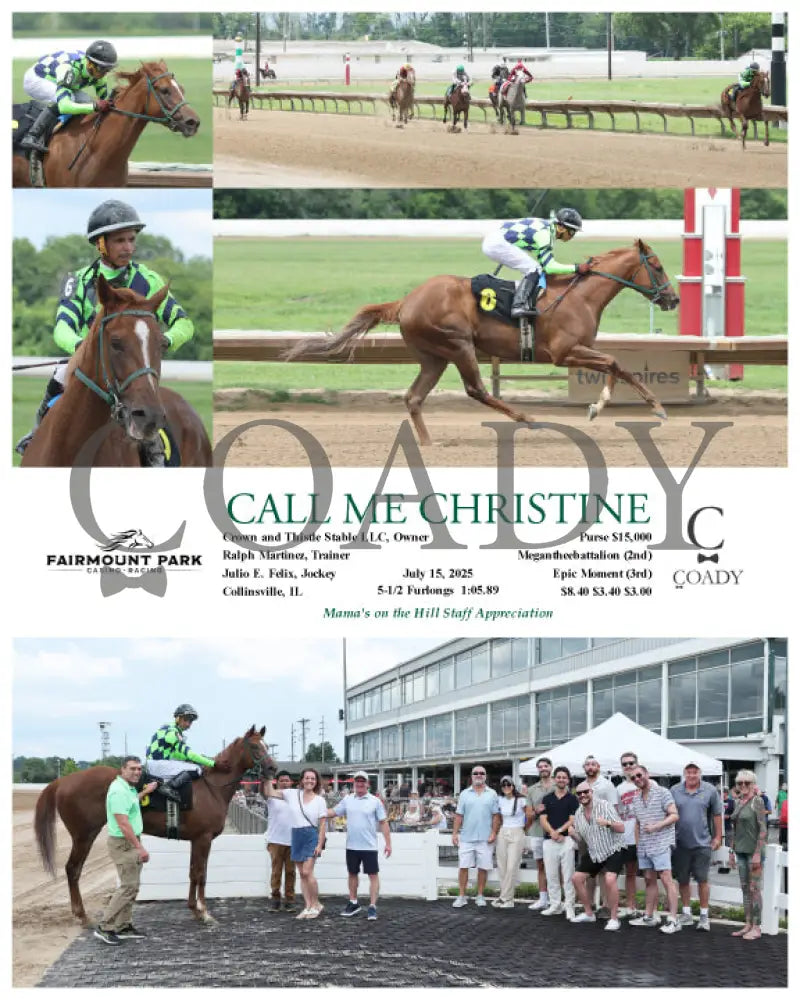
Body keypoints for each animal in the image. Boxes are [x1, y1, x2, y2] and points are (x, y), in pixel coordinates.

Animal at [34, 726, 273, 926]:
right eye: (254, 746)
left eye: (267, 745)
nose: (272, 768)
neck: (211, 787)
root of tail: (62, 781)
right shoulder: (203, 838)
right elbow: (201, 874)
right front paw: (205, 913)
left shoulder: (195, 840)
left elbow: (192, 872)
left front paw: (194, 910)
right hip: (84, 835)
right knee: (73, 869)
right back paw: (82, 915)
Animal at [284, 241, 679, 446]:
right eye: (658, 266)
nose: (673, 299)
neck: (580, 295)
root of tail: (405, 301)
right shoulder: (564, 353)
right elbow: (617, 363)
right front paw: (656, 408)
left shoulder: (577, 351)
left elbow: (614, 365)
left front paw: (598, 407)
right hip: (458, 345)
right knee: (476, 389)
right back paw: (526, 418)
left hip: (434, 356)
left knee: (414, 397)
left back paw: (428, 443)